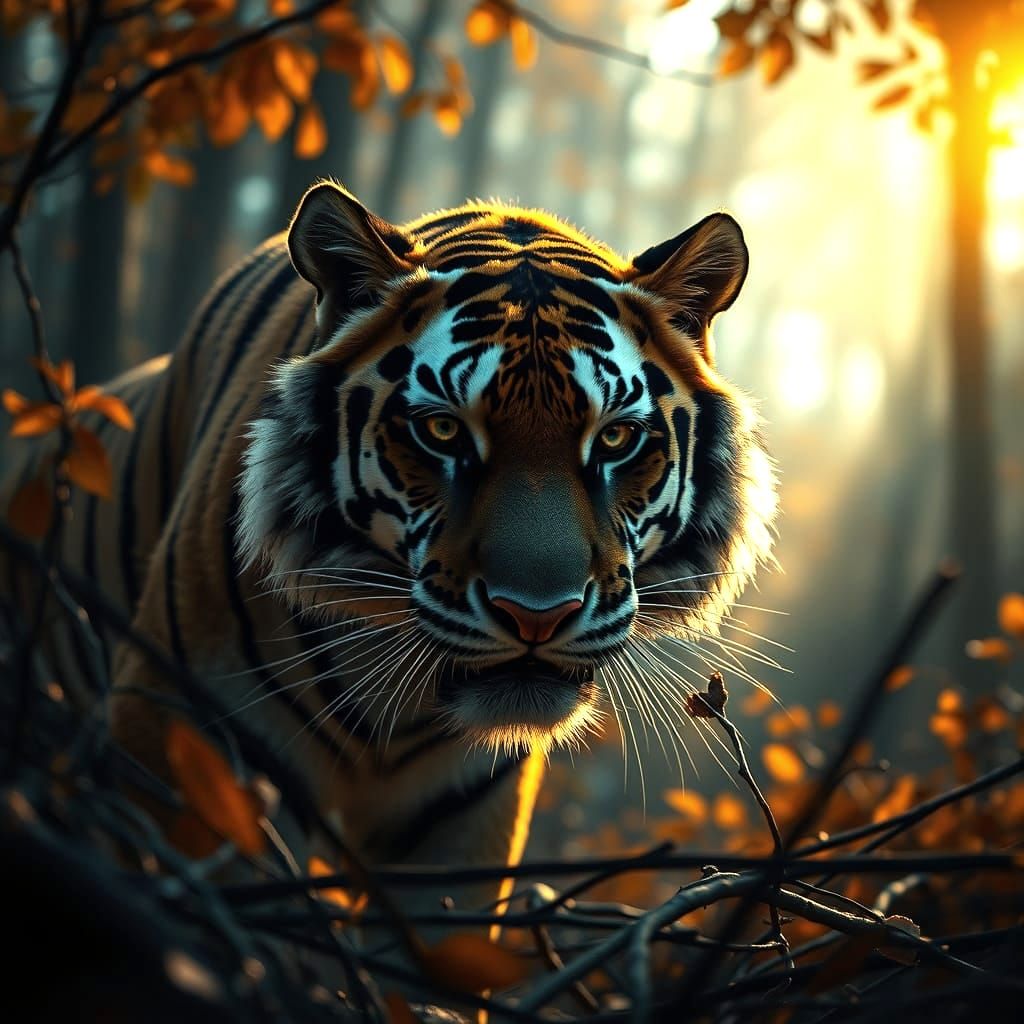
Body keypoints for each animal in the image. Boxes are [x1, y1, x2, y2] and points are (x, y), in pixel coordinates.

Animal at [2, 182, 776, 912]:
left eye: (615, 437)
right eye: (442, 431)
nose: (538, 616)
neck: (394, 702)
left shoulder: (463, 830)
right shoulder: (171, 736)